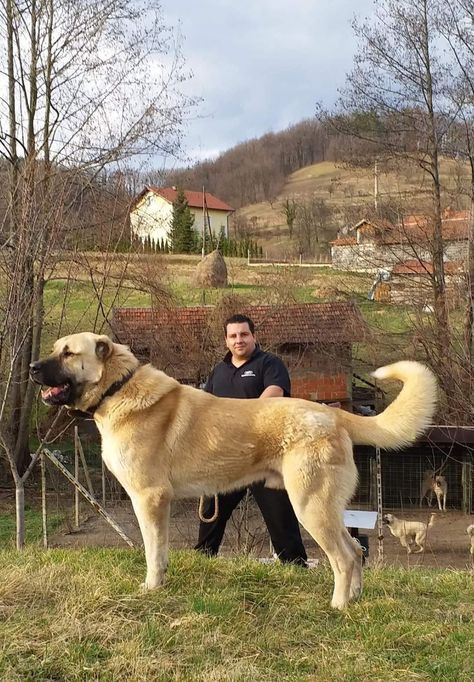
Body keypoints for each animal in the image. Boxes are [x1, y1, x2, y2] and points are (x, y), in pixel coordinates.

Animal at [29, 330, 436, 604]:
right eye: (54, 349)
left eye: (68, 352)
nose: (32, 368)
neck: (118, 388)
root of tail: (333, 414)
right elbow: (161, 550)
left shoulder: (149, 498)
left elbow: (151, 550)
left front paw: (151, 587)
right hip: (325, 508)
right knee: (355, 549)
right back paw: (355, 599)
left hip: (311, 507)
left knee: (346, 556)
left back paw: (338, 606)